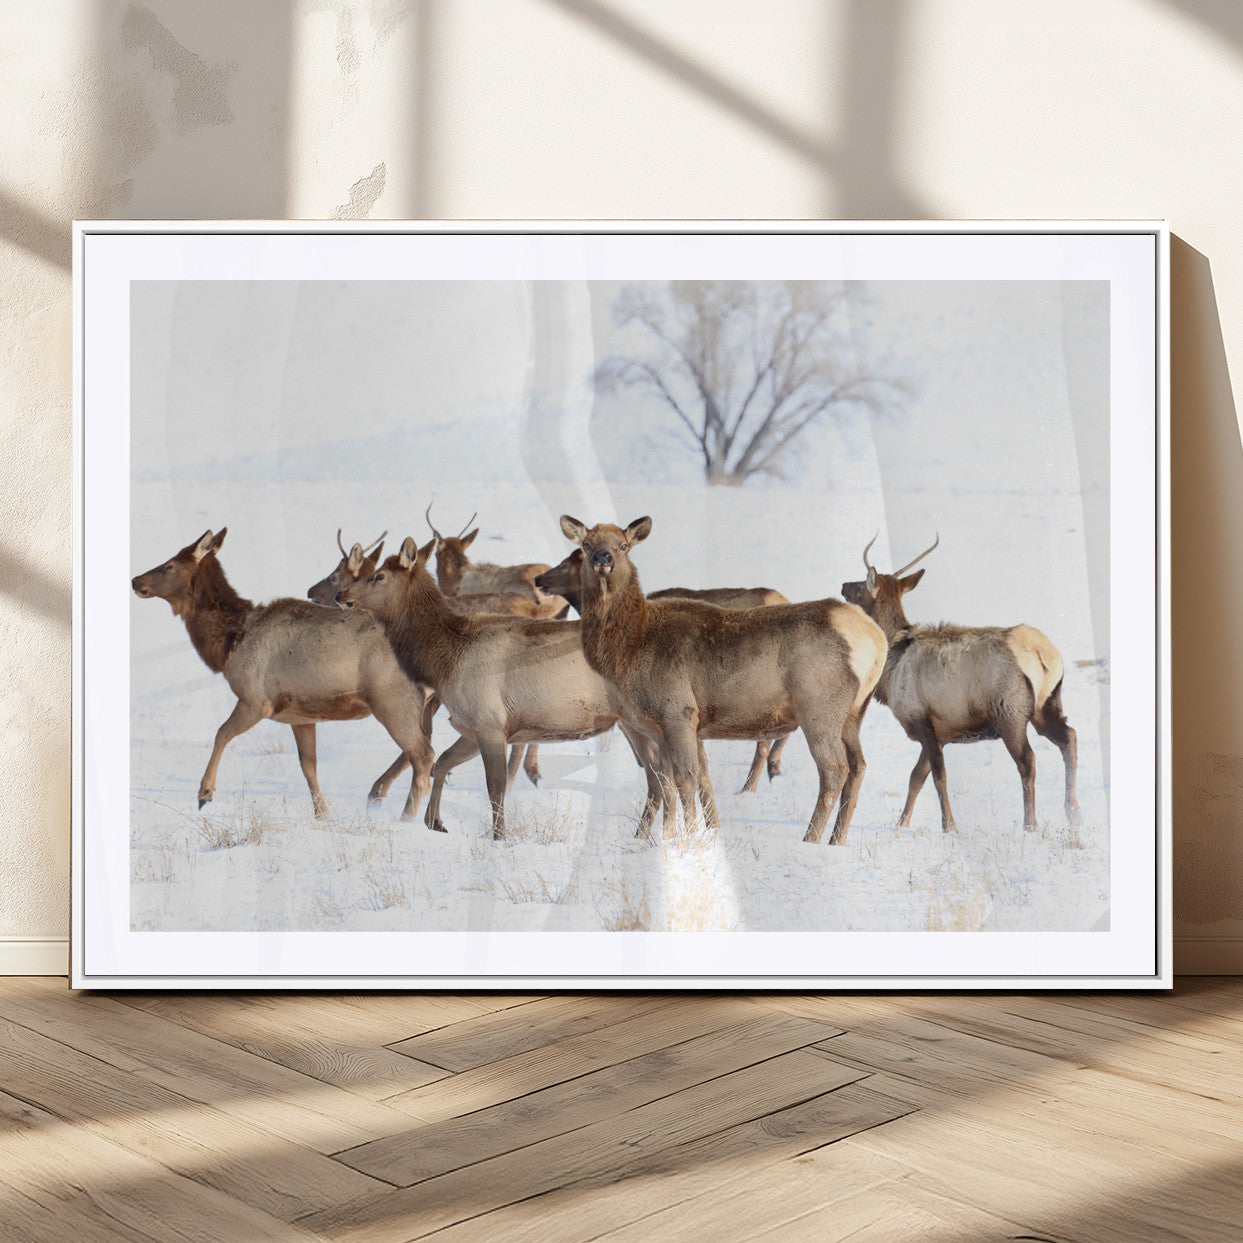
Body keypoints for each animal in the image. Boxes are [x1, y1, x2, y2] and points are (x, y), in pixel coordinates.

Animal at [132, 528, 434, 822]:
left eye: (169, 565)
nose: (135, 580)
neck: (229, 644)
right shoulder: (300, 716)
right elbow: (308, 765)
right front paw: (322, 815)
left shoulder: (256, 700)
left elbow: (221, 734)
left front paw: (205, 793)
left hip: (393, 700)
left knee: (423, 754)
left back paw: (406, 817)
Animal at [335, 537, 675, 841]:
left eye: (378, 575)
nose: (340, 594)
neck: (444, 660)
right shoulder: (472, 727)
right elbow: (442, 763)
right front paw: (435, 822)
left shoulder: (489, 722)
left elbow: (495, 788)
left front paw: (499, 837)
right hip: (635, 723)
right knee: (658, 776)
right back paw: (642, 836)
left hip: (642, 718)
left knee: (661, 775)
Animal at [840, 534, 1080, 833]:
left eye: (861, 586)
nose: (843, 586)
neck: (892, 663)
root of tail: (1043, 655)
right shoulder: (940, 731)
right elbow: (916, 777)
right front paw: (902, 822)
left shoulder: (921, 717)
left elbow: (938, 777)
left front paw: (949, 826)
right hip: (1047, 704)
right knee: (1069, 737)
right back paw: (1073, 811)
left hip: (1009, 711)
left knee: (1028, 760)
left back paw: (1030, 823)